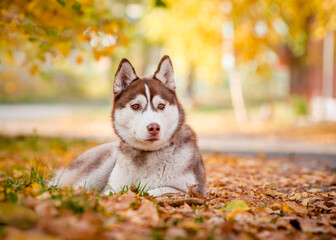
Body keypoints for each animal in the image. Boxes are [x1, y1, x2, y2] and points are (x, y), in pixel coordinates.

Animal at [50, 56, 206, 197]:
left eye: (161, 106)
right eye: (136, 106)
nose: (154, 128)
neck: (148, 154)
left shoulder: (193, 190)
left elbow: (163, 190)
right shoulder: (112, 188)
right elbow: (112, 193)